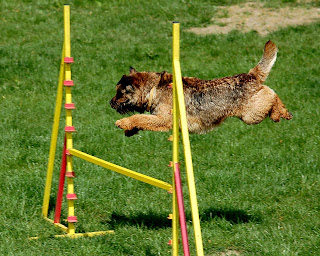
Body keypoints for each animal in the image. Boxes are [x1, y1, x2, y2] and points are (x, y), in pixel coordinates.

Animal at [109, 40, 292, 136]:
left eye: (120, 93)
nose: (110, 102)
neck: (154, 89)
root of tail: (250, 75)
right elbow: (142, 119)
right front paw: (130, 129)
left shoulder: (164, 120)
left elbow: (140, 117)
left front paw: (123, 123)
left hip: (251, 114)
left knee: (272, 95)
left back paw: (279, 113)